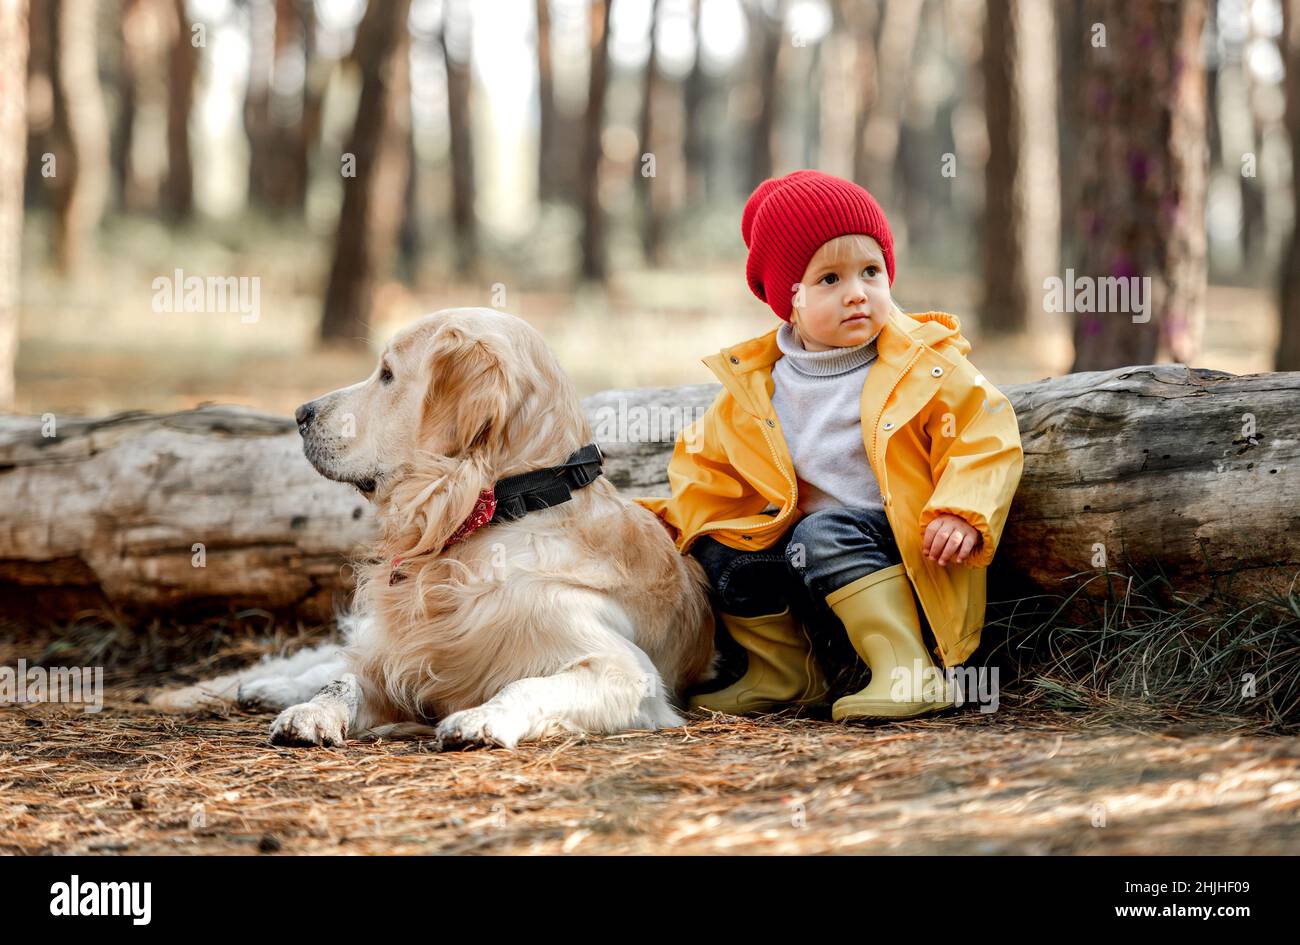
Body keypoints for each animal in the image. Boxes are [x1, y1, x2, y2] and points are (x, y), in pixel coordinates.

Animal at [159, 306, 722, 748]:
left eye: (387, 374)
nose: (300, 413)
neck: (500, 508)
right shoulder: (400, 656)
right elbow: (343, 682)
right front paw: (311, 713)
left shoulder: (626, 673)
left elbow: (526, 684)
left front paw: (482, 719)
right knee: (331, 662)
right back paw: (267, 689)